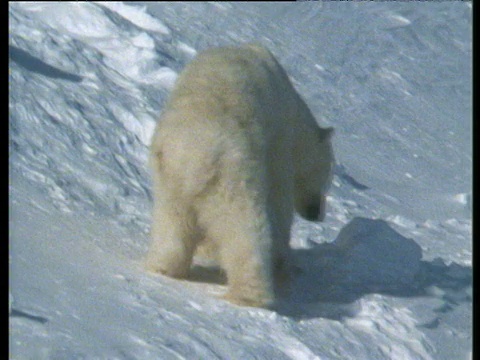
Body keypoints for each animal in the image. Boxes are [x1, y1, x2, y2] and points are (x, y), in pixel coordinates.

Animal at [145, 43, 334, 308]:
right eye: (328, 179)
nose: (316, 213)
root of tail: (194, 157)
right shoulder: (278, 141)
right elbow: (280, 199)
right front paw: (284, 262)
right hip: (231, 176)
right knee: (243, 228)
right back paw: (251, 295)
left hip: (169, 179)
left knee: (171, 225)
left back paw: (163, 268)